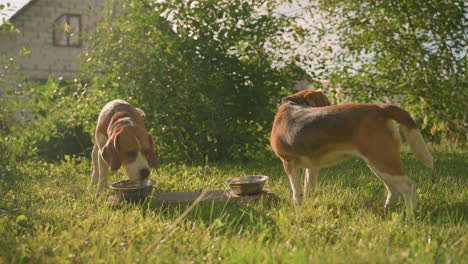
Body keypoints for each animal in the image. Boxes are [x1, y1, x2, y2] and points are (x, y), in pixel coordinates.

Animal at [270, 90, 436, 210]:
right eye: (327, 102)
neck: (292, 103)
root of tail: (380, 109)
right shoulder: (312, 167)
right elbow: (309, 187)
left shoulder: (288, 162)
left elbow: (297, 191)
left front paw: (298, 207)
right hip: (378, 164)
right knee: (393, 188)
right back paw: (387, 209)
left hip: (382, 162)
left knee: (409, 186)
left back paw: (411, 213)